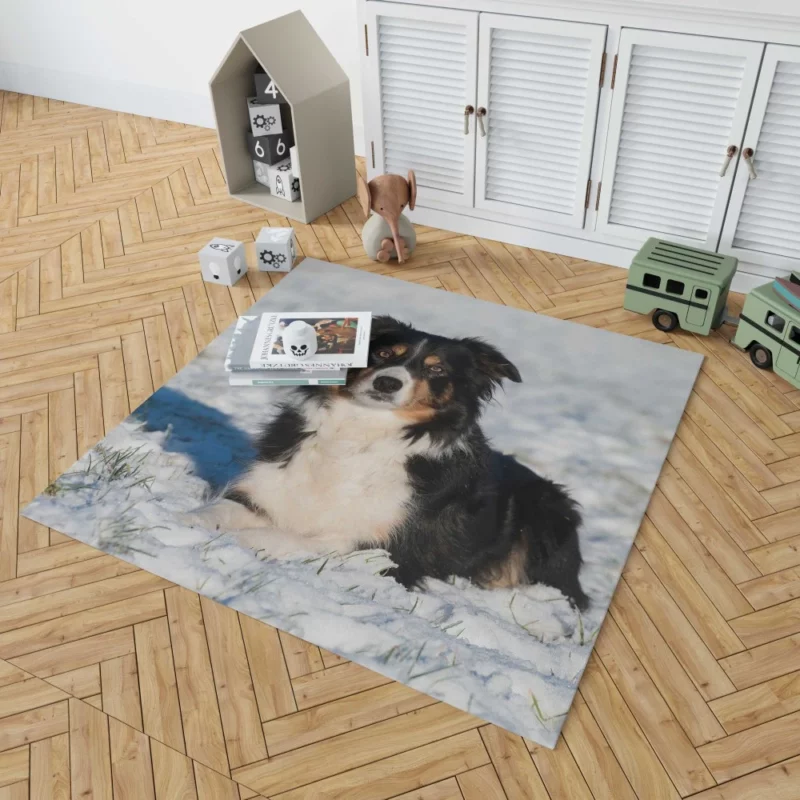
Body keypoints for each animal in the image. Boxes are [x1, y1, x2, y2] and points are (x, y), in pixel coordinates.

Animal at [203, 316, 584, 608]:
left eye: (436, 369)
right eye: (383, 353)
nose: (387, 382)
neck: (361, 434)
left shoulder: (388, 550)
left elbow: (287, 539)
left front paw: (246, 541)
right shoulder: (264, 492)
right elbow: (219, 511)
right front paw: (195, 522)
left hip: (548, 513)